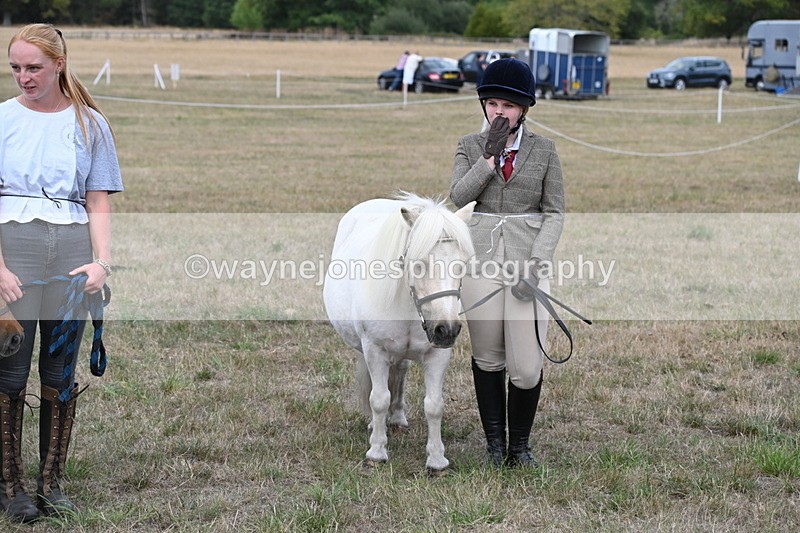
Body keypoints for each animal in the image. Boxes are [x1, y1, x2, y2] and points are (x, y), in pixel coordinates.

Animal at [323, 193, 475, 473]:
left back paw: (397, 417)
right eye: (418, 263)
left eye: (463, 265)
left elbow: (434, 405)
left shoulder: (438, 355)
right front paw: (376, 451)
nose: (446, 329)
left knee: (401, 372)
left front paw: (437, 459)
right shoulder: (375, 350)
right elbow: (379, 398)